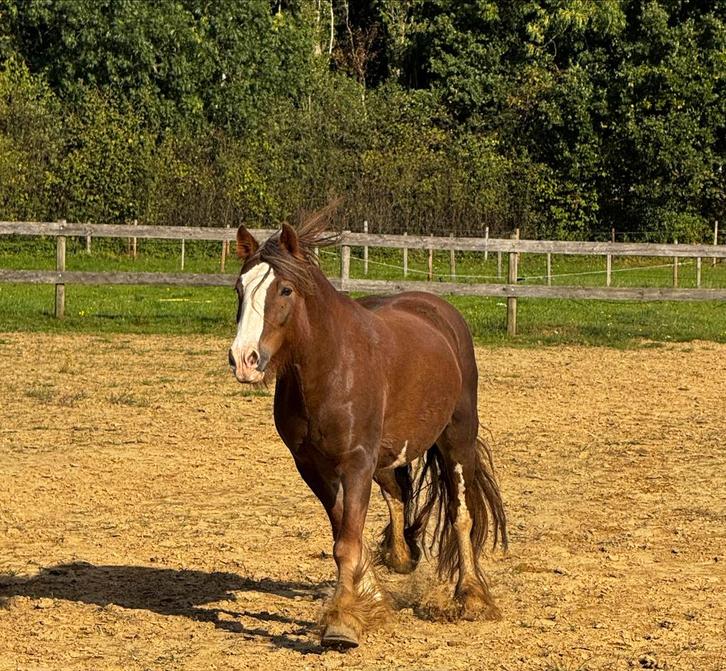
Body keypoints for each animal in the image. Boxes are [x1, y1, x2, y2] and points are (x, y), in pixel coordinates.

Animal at [227, 209, 507, 649]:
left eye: (285, 290)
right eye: (239, 288)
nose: (244, 359)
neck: (330, 367)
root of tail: (439, 310)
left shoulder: (356, 461)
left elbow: (347, 542)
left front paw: (342, 622)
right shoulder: (313, 467)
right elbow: (347, 532)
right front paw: (369, 601)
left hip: (457, 438)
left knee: (460, 513)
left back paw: (472, 596)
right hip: (387, 455)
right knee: (398, 495)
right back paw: (402, 557)